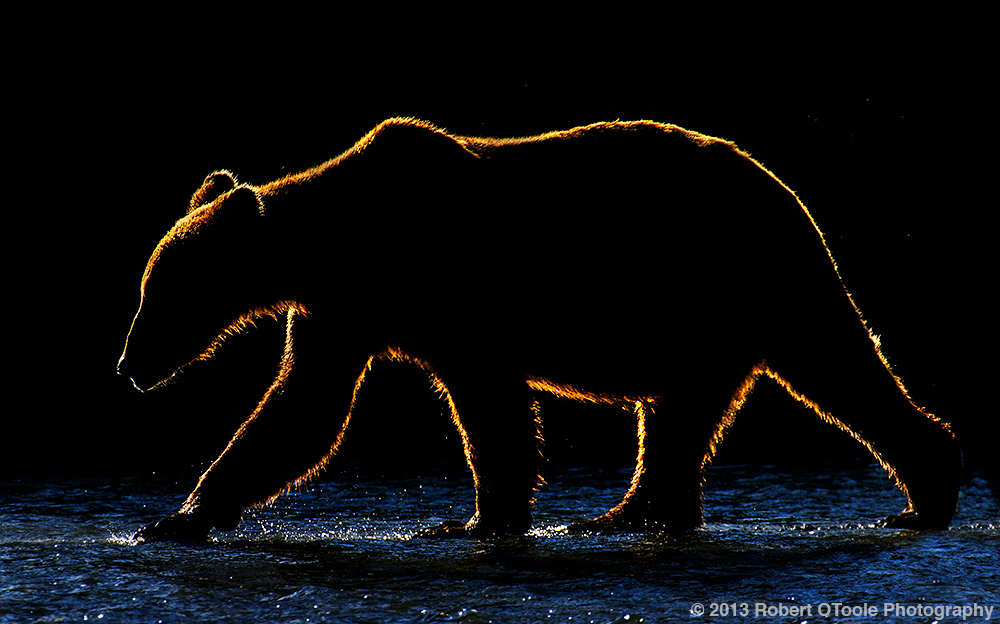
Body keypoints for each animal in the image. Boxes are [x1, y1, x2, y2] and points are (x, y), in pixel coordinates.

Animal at [117, 118, 960, 540]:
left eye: (159, 290)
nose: (127, 363)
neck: (342, 240)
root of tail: (786, 187)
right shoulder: (342, 312)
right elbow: (300, 409)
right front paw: (183, 514)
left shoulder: (447, 292)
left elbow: (488, 407)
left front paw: (471, 520)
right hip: (702, 318)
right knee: (680, 419)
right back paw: (627, 513)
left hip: (747, 276)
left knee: (834, 364)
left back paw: (926, 492)